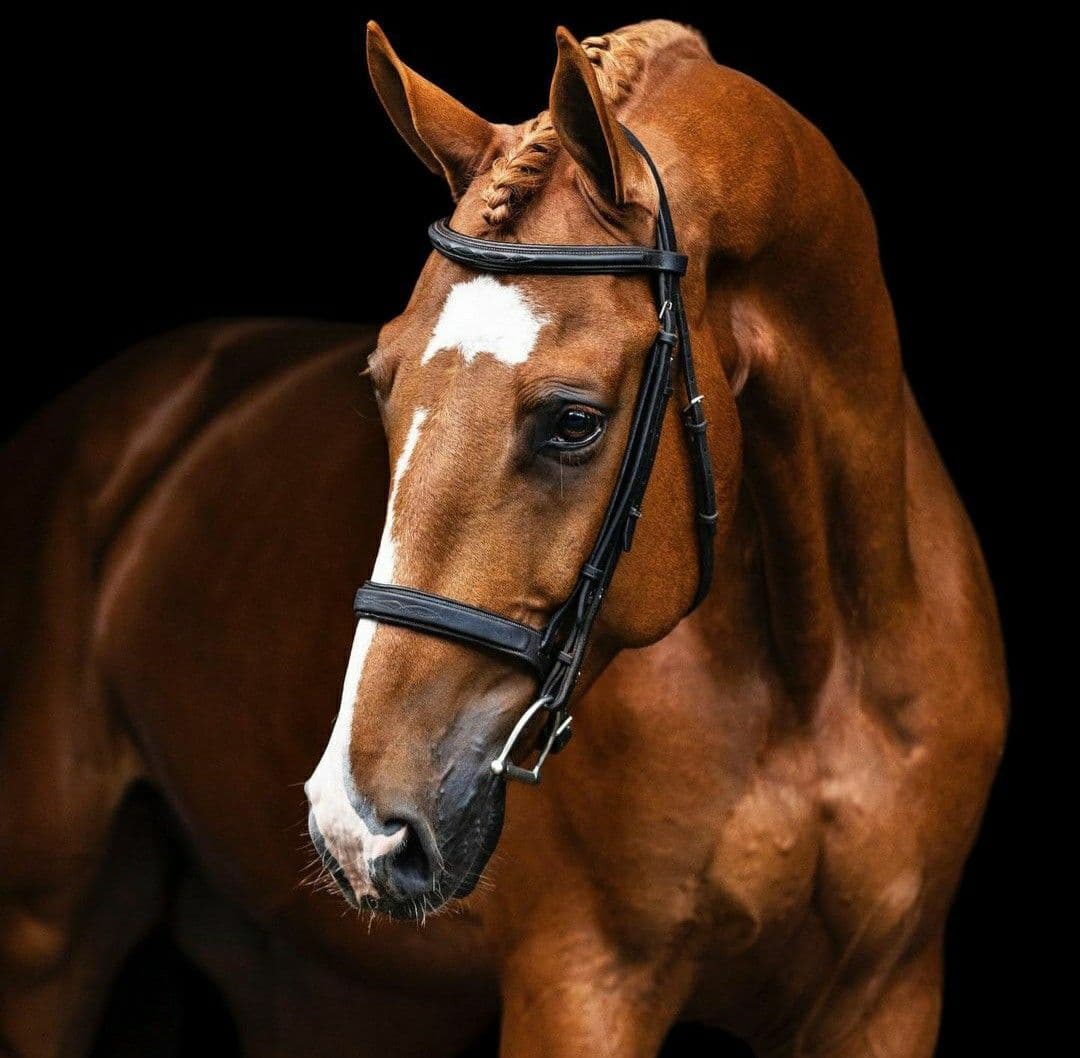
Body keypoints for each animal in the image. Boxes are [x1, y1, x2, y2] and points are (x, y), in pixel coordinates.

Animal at [0, 19, 1006, 1058]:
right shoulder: (581, 985)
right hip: (47, 930)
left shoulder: (887, 995)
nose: (358, 825)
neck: (812, 666)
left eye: (574, 422)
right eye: (382, 381)